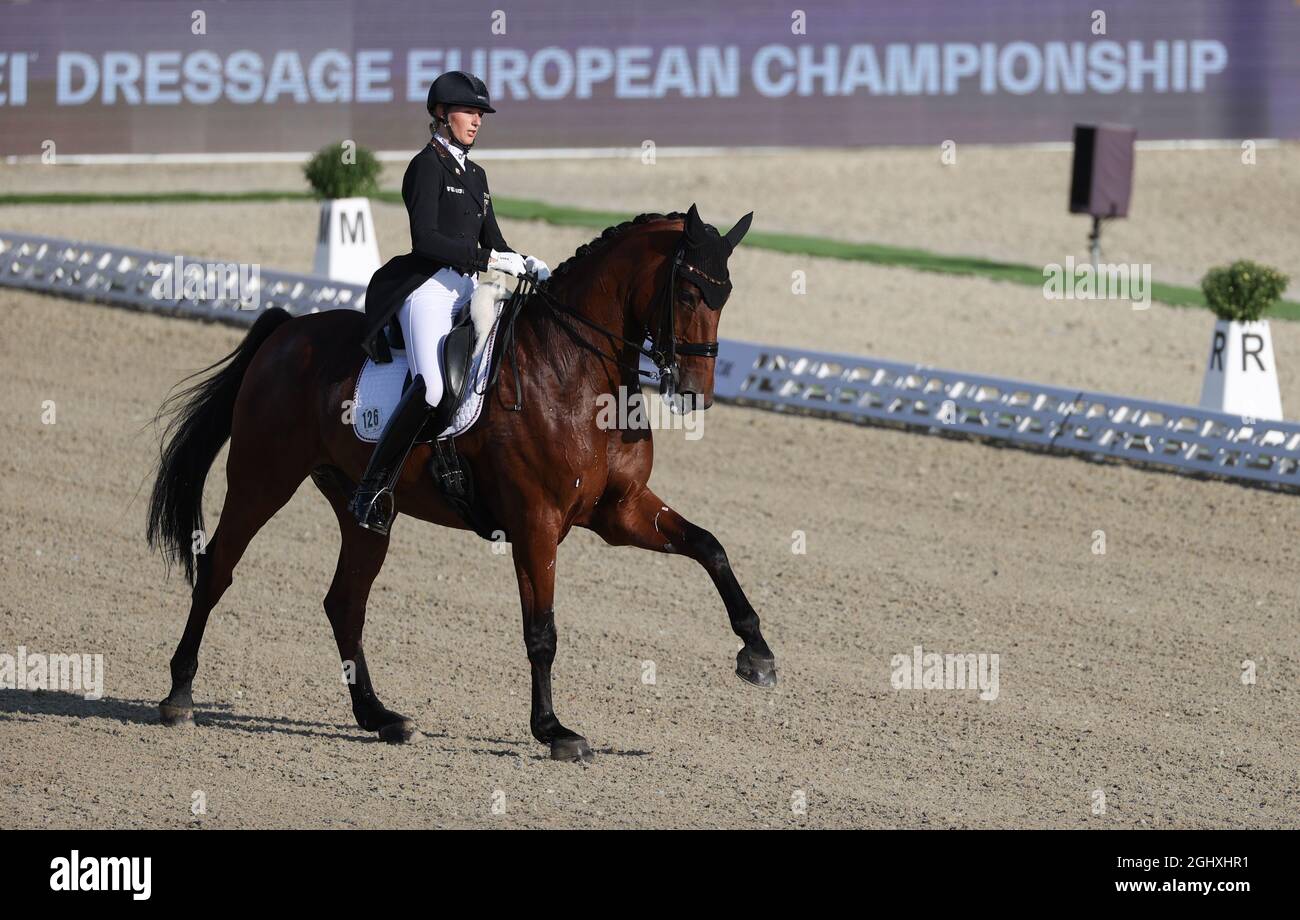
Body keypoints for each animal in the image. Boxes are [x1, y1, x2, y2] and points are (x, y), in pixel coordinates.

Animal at [152, 206, 780, 764]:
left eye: (725, 295)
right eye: (689, 294)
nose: (695, 393)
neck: (572, 370)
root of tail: (287, 332)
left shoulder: (618, 511)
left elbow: (709, 547)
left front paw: (757, 653)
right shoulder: (535, 522)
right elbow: (541, 631)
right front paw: (554, 731)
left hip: (364, 512)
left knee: (345, 602)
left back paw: (380, 717)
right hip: (261, 479)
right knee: (218, 568)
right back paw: (179, 695)